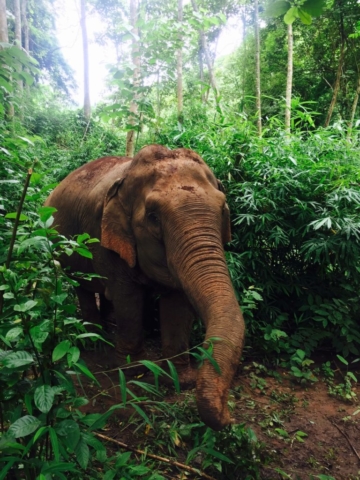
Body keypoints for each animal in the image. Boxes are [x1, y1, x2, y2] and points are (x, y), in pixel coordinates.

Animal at [45, 144, 245, 430]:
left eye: (223, 210)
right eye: (153, 217)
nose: (230, 418)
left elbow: (177, 302)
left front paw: (178, 377)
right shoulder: (105, 234)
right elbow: (128, 297)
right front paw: (133, 370)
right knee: (84, 288)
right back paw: (94, 339)